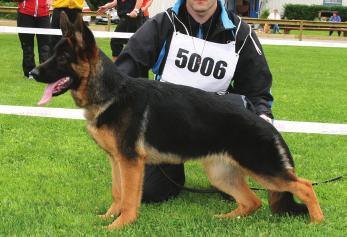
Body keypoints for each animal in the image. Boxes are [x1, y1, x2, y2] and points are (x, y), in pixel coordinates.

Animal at [28, 13, 324, 230]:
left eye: (62, 58)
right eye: (51, 54)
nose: (32, 72)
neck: (111, 92)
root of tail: (267, 125)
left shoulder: (131, 163)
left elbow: (129, 199)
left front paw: (119, 225)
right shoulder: (117, 161)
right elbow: (117, 193)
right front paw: (109, 216)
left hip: (263, 169)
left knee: (305, 186)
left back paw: (317, 222)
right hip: (220, 172)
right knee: (253, 202)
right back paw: (228, 219)